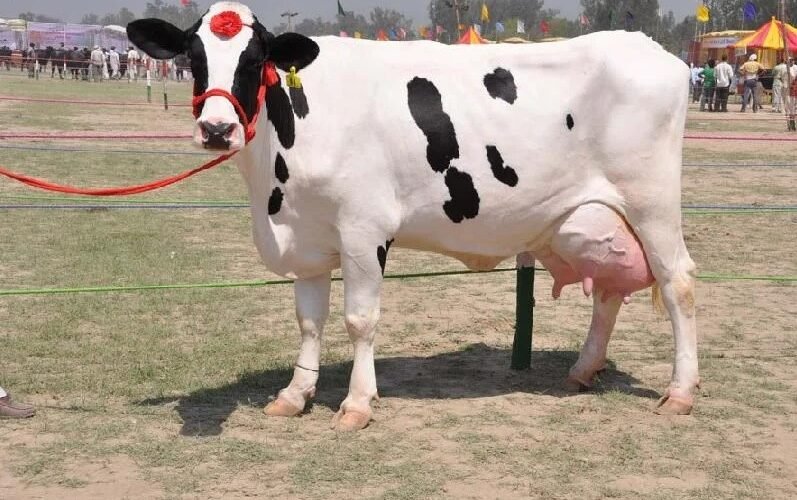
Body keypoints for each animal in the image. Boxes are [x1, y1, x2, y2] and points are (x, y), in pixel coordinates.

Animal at [128, 1, 698, 431]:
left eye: (255, 58)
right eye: (193, 56)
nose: (216, 129)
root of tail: (648, 47)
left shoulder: (363, 228)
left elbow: (359, 320)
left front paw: (357, 404)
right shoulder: (307, 235)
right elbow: (310, 320)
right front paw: (295, 393)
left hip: (652, 203)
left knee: (679, 283)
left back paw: (680, 391)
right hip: (595, 219)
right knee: (608, 292)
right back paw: (583, 370)